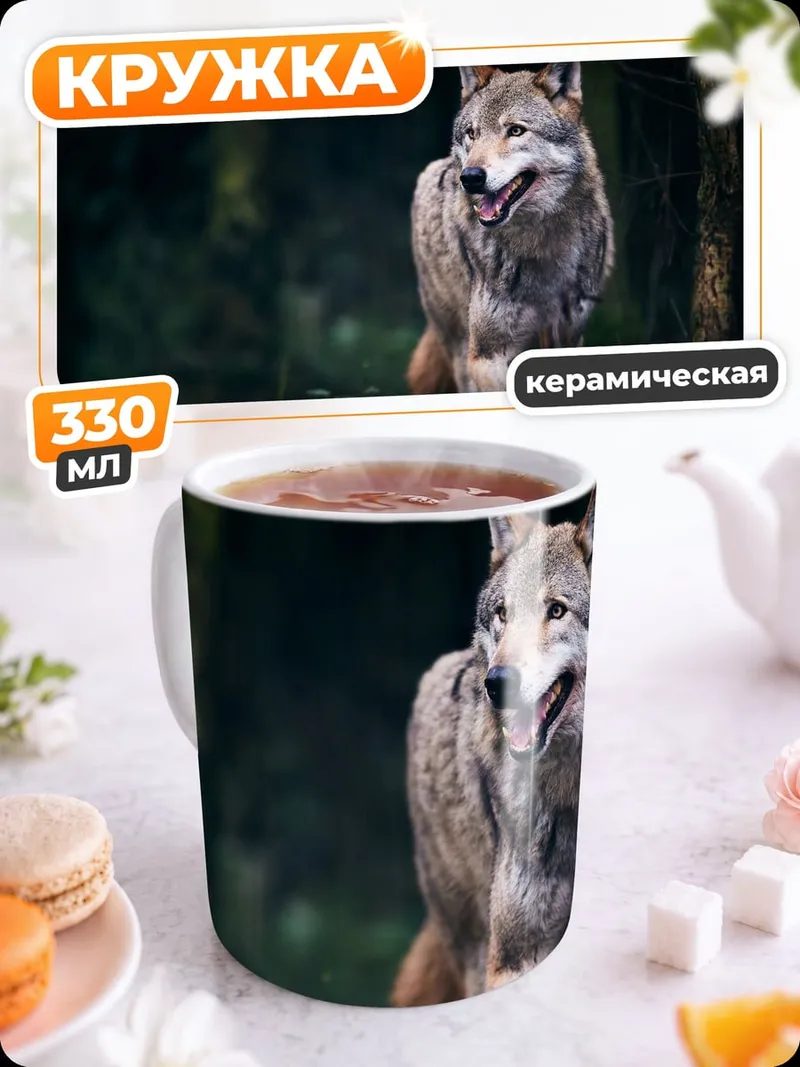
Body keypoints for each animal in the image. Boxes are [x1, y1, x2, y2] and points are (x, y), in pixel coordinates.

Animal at [408, 63, 614, 394]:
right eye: (472, 134)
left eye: (515, 130)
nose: (471, 177)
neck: (539, 246)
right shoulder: (487, 355)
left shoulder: (568, 337)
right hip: (459, 349)